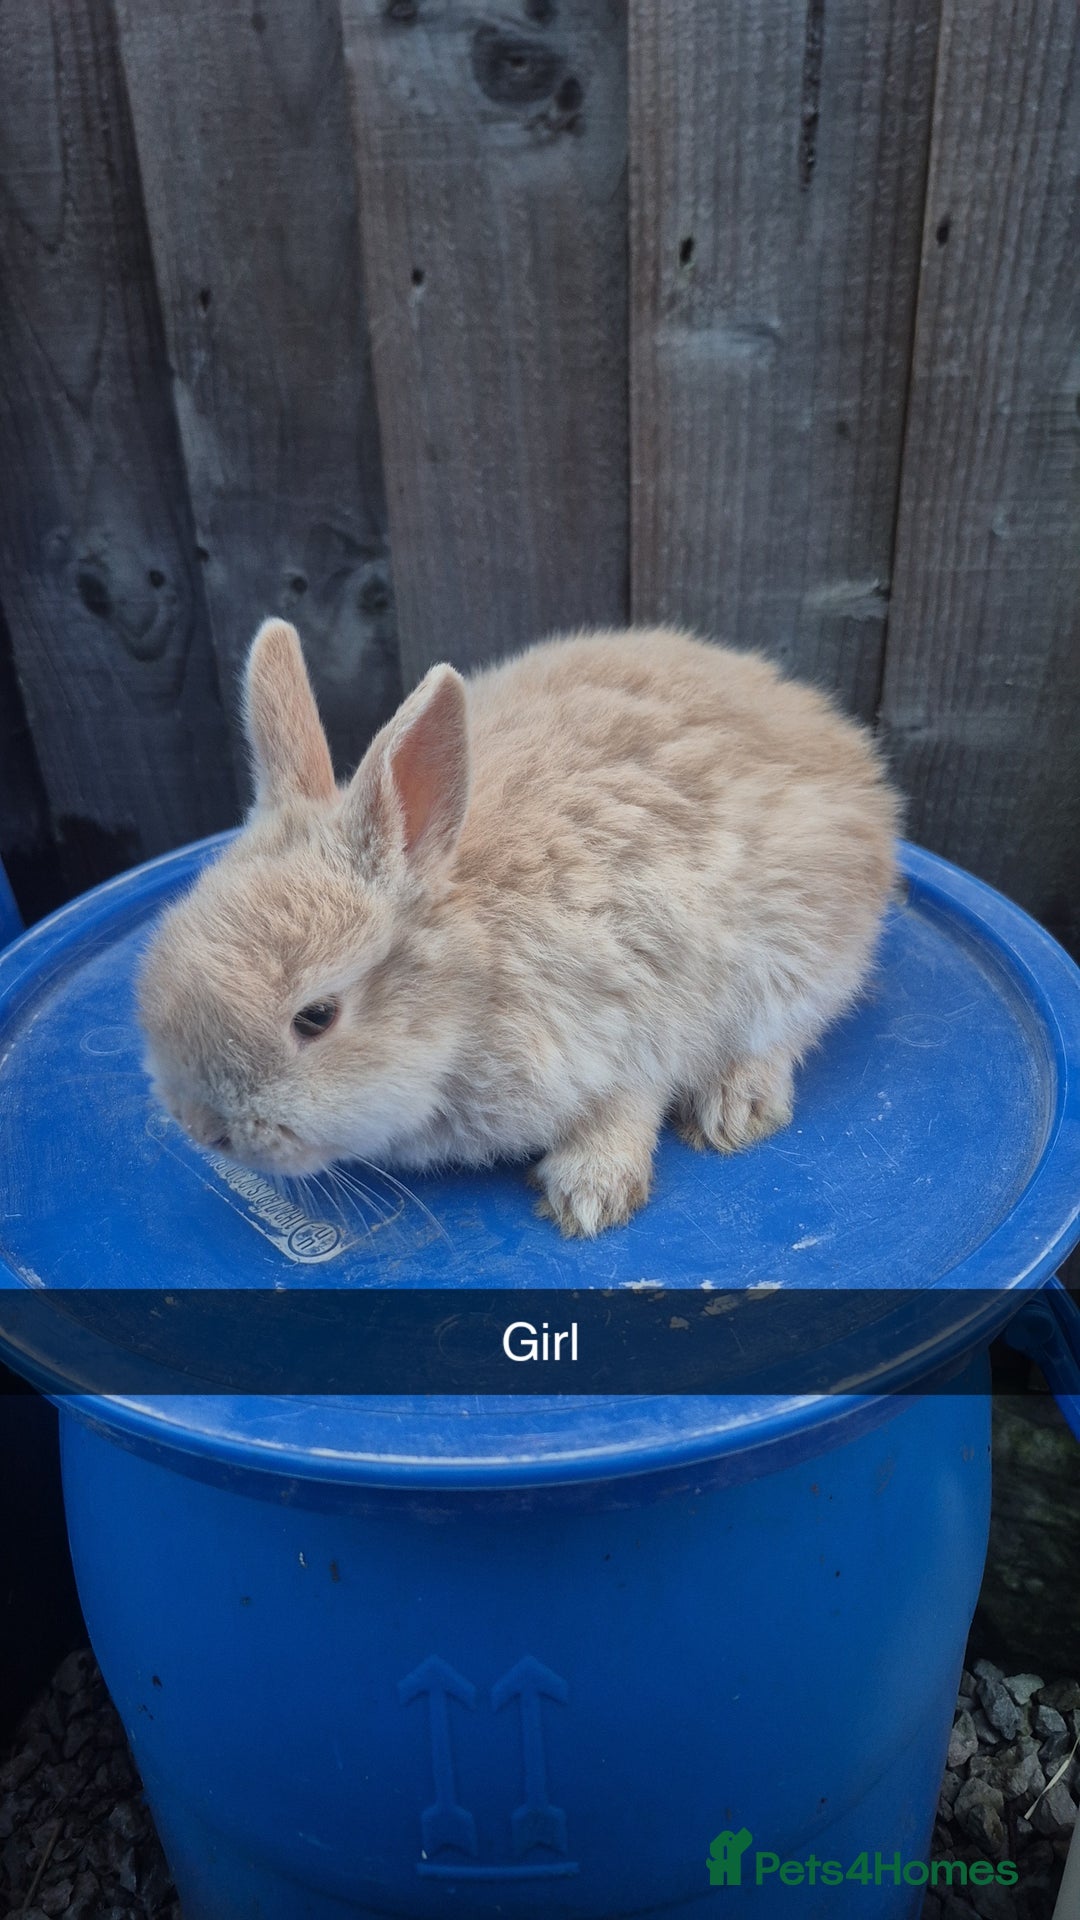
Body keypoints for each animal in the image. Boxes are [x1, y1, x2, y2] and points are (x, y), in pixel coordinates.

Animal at [137, 619, 900, 1238]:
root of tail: (840, 743)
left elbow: (626, 1106)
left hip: (805, 943)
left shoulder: (634, 1020)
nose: (204, 1129)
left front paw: (588, 1195)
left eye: (316, 1017)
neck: (473, 988)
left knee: (789, 1028)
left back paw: (735, 1108)